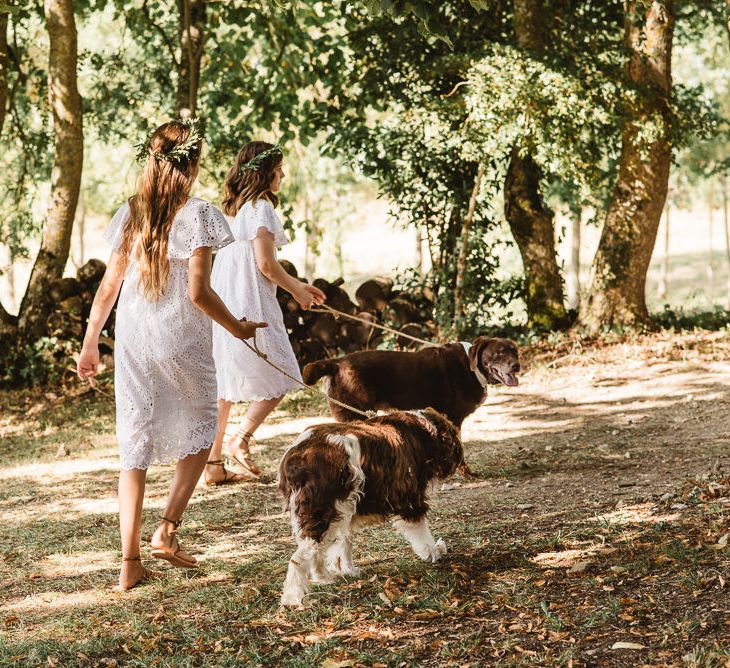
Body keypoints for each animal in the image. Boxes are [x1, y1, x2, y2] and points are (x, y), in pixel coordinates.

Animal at [302, 340, 516, 428]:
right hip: (355, 413)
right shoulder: (452, 417)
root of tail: (337, 363)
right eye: (499, 353)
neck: (472, 367)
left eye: (515, 351)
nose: (516, 365)